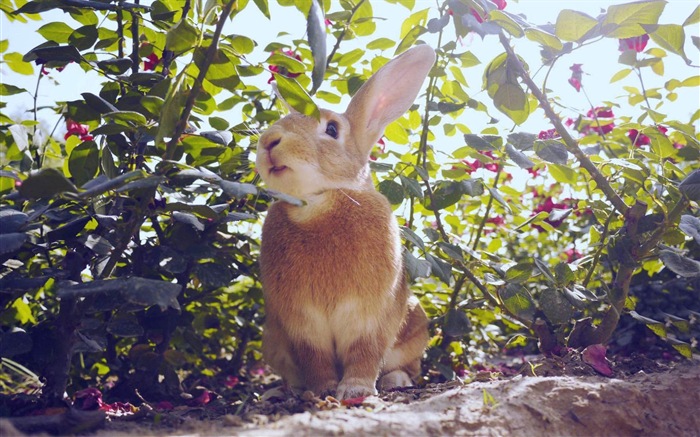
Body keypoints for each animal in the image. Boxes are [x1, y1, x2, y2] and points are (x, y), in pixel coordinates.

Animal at [254, 43, 434, 398]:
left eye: (332, 130)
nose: (268, 141)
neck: (317, 204)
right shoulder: (303, 323)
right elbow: (315, 358)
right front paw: (323, 390)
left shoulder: (368, 317)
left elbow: (364, 353)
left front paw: (354, 390)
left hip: (415, 325)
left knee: (408, 366)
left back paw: (395, 381)